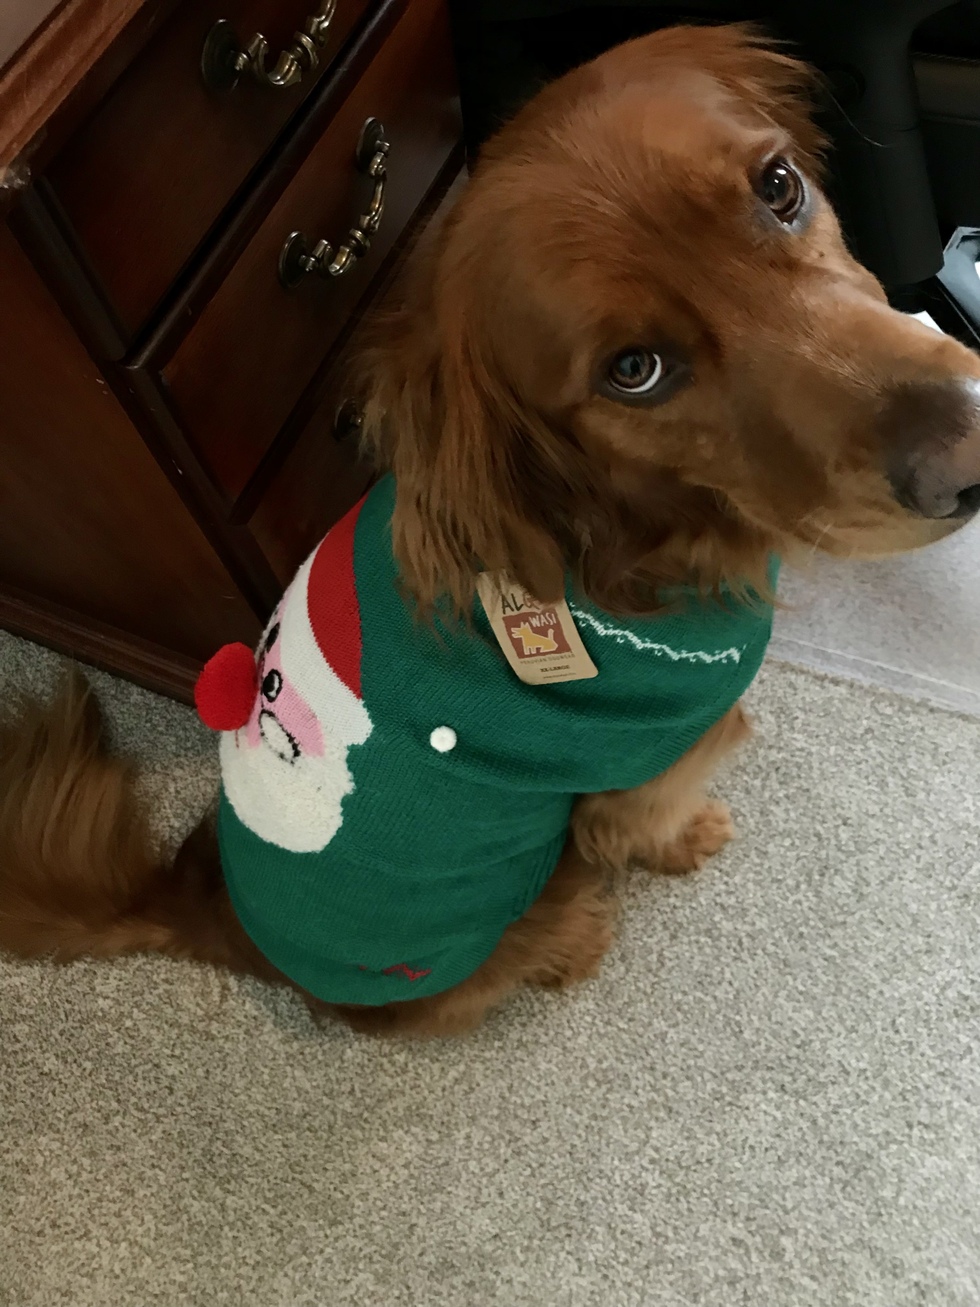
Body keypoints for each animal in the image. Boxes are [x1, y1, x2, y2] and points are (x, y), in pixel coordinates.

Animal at [3, 24, 980, 1038]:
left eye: (780, 186)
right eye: (634, 369)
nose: (964, 460)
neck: (628, 532)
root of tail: (220, 921)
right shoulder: (650, 758)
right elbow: (647, 818)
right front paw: (688, 839)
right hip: (520, 910)